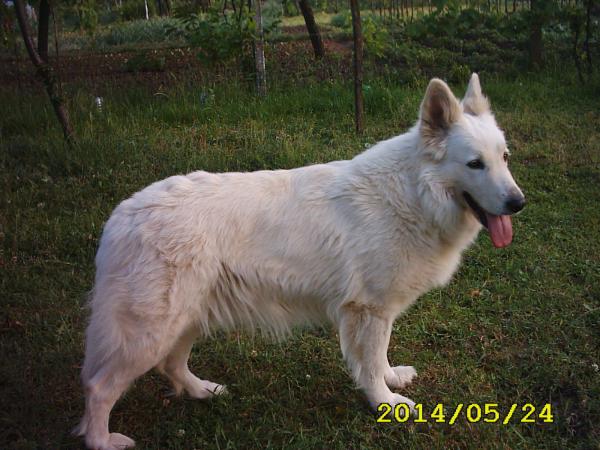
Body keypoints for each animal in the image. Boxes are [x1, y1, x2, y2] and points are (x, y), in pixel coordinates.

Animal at [75, 74, 524, 450]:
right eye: (474, 164)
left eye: (504, 158)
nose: (518, 203)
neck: (413, 193)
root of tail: (123, 215)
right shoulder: (368, 311)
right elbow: (370, 363)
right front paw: (385, 401)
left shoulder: (378, 313)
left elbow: (379, 357)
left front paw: (391, 379)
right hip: (149, 332)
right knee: (98, 389)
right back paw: (103, 441)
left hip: (188, 317)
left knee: (172, 363)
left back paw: (201, 390)